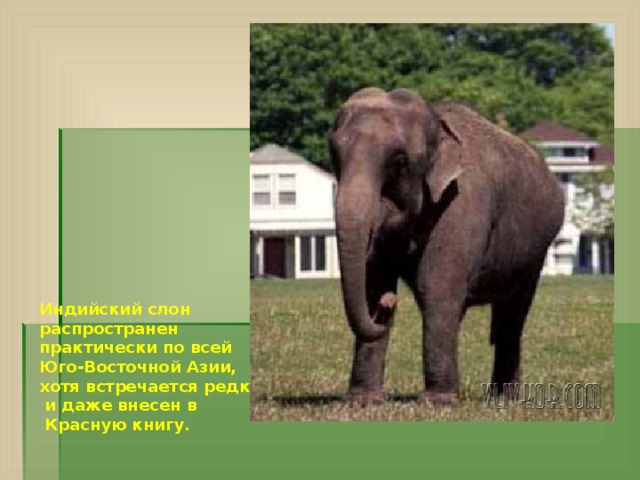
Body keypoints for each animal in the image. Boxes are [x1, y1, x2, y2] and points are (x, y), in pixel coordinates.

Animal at [329, 87, 565, 405]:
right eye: (334, 155)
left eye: (398, 161)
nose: (390, 302)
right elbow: (372, 283)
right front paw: (363, 401)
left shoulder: (461, 204)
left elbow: (437, 287)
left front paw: (437, 402)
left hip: (535, 253)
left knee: (512, 318)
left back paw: (502, 400)